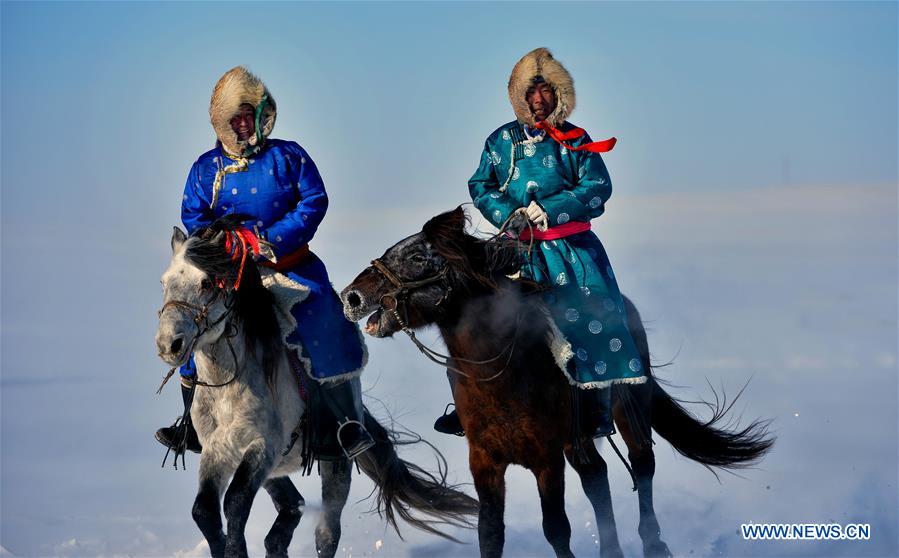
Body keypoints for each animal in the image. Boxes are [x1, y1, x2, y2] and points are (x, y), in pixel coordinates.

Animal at [156, 220, 478, 558]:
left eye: (206, 282)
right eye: (164, 282)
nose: (168, 344)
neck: (230, 384)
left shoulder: (262, 447)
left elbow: (235, 502)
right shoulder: (217, 450)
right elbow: (204, 510)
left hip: (334, 463)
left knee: (327, 530)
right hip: (275, 470)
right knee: (293, 505)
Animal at [342, 209, 776, 558]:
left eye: (418, 257)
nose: (352, 297)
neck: (498, 371)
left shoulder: (546, 458)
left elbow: (556, 529)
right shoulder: (485, 459)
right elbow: (490, 533)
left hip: (629, 411)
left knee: (642, 465)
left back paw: (653, 544)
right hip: (579, 438)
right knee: (597, 475)